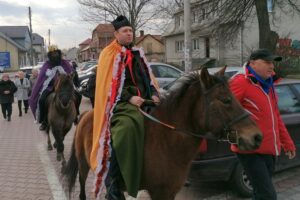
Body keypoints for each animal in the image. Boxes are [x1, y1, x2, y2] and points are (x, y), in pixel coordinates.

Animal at [62, 67, 262, 198]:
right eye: (225, 100)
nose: (257, 136)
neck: (167, 140)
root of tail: (87, 114)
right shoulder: (158, 192)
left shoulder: (170, 191)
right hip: (83, 166)